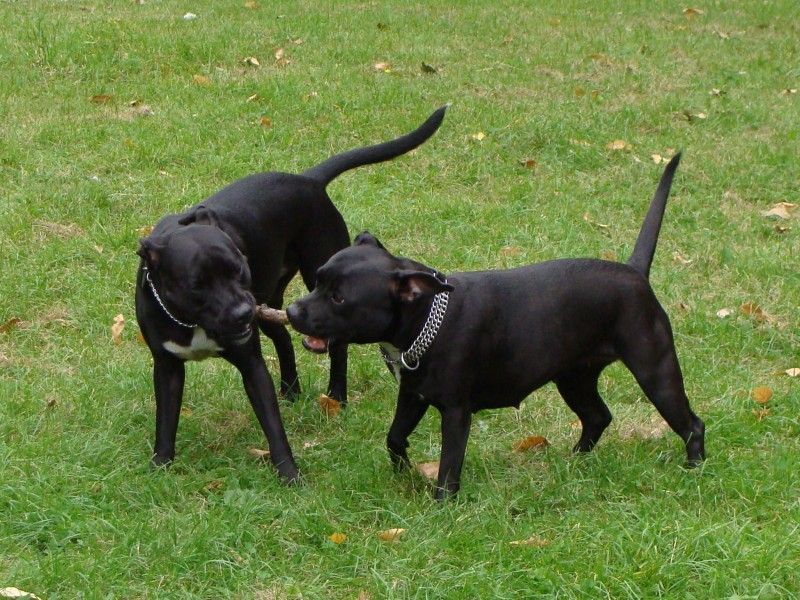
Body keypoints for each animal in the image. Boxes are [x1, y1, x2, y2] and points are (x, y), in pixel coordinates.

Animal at [286, 154, 708, 496]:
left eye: (339, 298)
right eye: (317, 280)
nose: (291, 311)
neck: (427, 319)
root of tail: (635, 272)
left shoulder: (456, 412)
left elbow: (448, 467)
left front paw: (442, 507)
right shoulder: (413, 395)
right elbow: (394, 437)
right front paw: (403, 472)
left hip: (655, 371)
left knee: (691, 424)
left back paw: (694, 470)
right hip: (574, 377)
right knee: (597, 416)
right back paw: (574, 462)